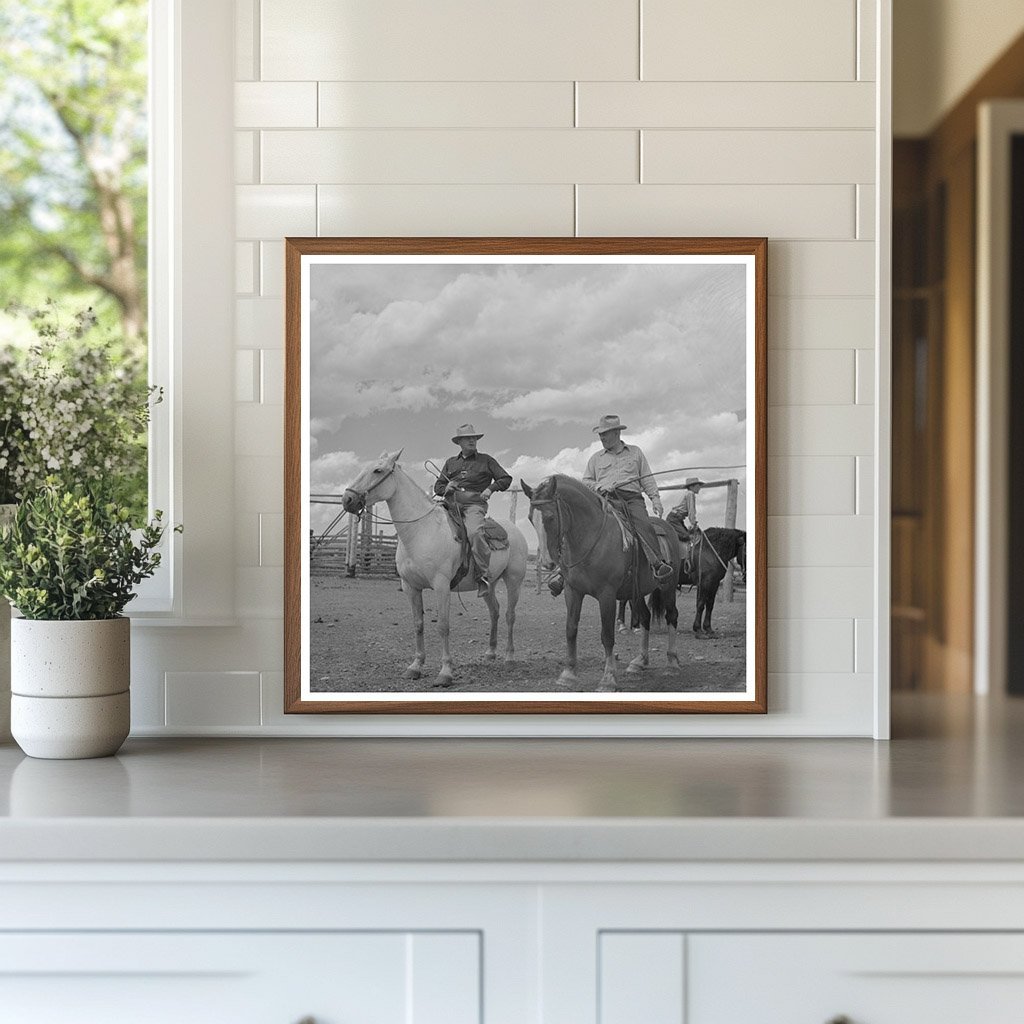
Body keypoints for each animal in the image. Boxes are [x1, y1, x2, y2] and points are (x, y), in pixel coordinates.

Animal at [339, 450, 528, 684]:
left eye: (378, 470)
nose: (347, 499)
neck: (421, 531)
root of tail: (514, 529)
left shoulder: (441, 585)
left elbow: (443, 626)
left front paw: (445, 672)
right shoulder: (410, 587)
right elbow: (418, 624)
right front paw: (415, 666)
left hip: (514, 581)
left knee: (510, 615)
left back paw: (509, 657)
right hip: (489, 584)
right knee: (495, 611)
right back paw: (490, 653)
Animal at [524, 475, 684, 692]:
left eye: (550, 517)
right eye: (531, 518)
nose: (548, 562)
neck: (589, 541)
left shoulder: (606, 594)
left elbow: (607, 635)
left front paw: (608, 679)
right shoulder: (572, 591)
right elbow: (571, 629)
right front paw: (568, 674)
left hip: (668, 586)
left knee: (671, 616)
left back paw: (672, 663)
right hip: (636, 592)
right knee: (645, 617)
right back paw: (640, 661)